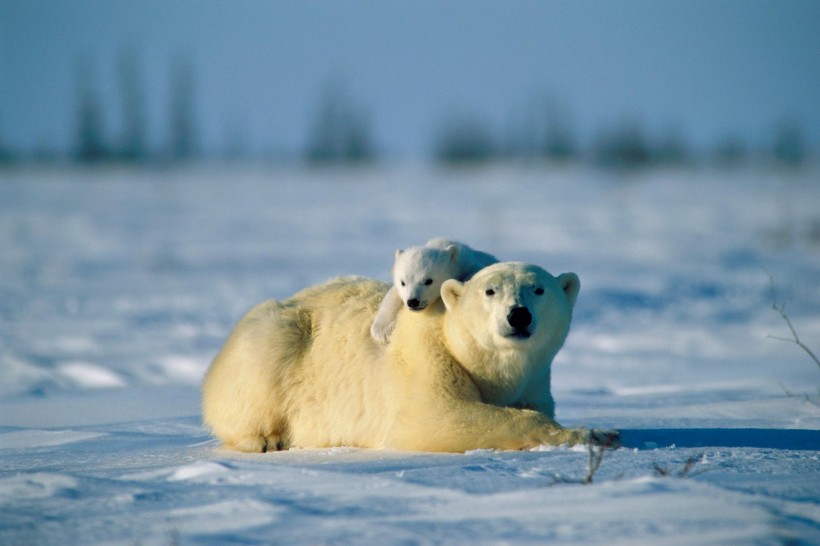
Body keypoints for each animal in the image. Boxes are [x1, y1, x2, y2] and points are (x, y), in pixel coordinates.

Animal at [202, 260, 620, 450]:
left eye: (539, 289)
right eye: (490, 291)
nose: (518, 315)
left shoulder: (534, 380)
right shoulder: (426, 358)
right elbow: (439, 416)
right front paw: (597, 432)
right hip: (274, 338)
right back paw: (267, 438)